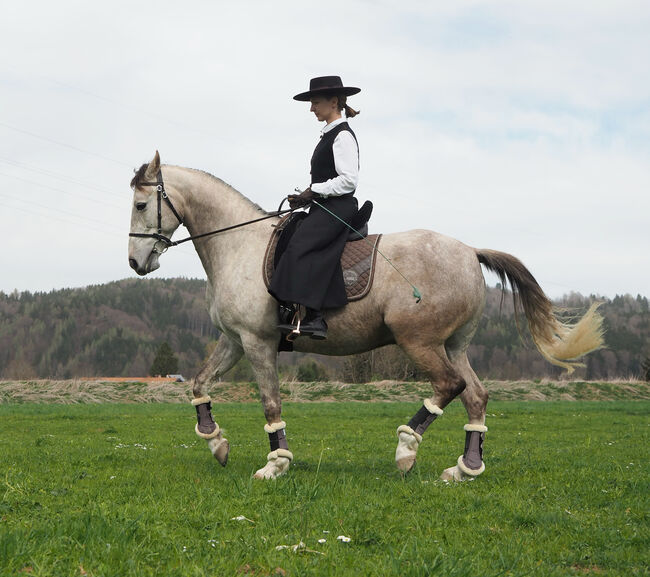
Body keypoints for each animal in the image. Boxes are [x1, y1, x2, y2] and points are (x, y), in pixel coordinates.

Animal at [127, 151, 604, 480]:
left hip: (418, 341)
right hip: (453, 344)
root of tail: (470, 251)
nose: (135, 263)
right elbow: (199, 384)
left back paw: (407, 448)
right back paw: (464, 468)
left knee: (450, 386)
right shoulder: (233, 340)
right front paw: (217, 444)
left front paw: (275, 464)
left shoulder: (257, 342)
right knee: (476, 395)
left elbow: (270, 401)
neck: (238, 245)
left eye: (140, 205)